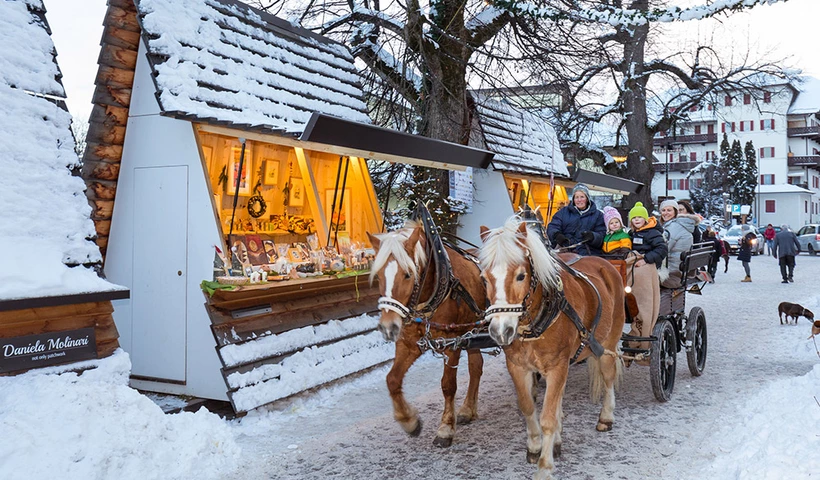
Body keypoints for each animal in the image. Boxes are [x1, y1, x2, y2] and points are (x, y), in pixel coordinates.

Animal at [366, 223, 486, 448]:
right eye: (378, 275)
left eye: (407, 274)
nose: (388, 326)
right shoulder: (408, 343)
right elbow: (392, 379)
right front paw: (408, 420)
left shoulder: (452, 342)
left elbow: (448, 385)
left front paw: (445, 428)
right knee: (476, 366)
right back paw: (467, 409)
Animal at [478, 218, 624, 480]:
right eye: (484, 278)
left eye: (521, 275)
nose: (501, 330)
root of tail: (605, 264)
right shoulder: (517, 367)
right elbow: (528, 407)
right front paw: (536, 445)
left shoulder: (557, 366)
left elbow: (547, 417)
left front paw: (545, 466)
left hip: (607, 344)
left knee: (608, 377)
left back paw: (606, 416)